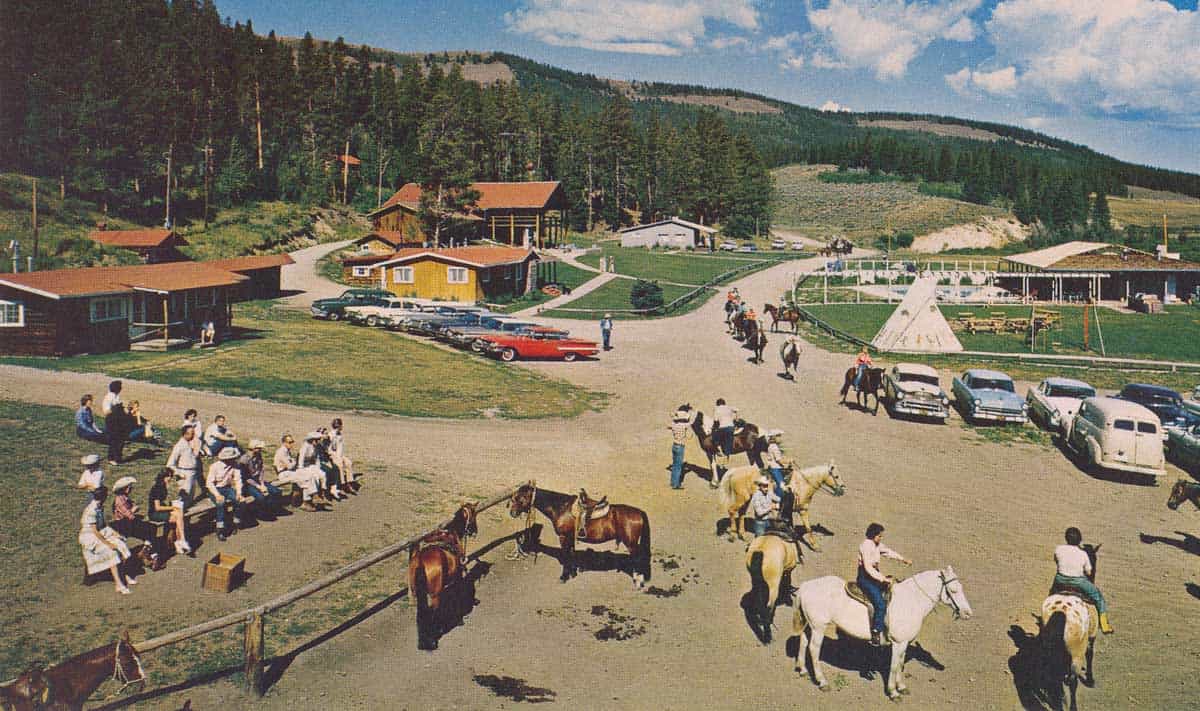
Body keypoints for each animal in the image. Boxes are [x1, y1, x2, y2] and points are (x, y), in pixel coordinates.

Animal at [410, 499, 480, 648]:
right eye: (474, 514)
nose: (474, 531)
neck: (452, 535)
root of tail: (420, 561)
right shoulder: (458, 576)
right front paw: (459, 619)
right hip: (435, 595)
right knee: (432, 612)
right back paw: (432, 639)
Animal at [508, 482, 657, 588]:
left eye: (520, 498)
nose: (512, 513)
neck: (561, 507)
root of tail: (639, 512)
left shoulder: (563, 537)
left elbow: (566, 556)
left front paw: (563, 577)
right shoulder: (570, 537)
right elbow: (572, 554)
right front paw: (573, 573)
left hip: (631, 543)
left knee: (638, 558)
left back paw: (638, 582)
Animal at [792, 566, 969, 701]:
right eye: (953, 590)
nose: (968, 613)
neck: (910, 601)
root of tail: (806, 586)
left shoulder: (904, 643)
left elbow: (900, 663)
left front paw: (901, 687)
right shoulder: (898, 643)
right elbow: (894, 665)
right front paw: (893, 692)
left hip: (810, 625)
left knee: (803, 642)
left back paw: (803, 670)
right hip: (819, 627)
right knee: (814, 649)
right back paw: (822, 682)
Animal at [1036, 540, 1099, 706]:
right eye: (1094, 558)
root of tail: (1061, 612)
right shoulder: (1091, 637)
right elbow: (1090, 655)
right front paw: (1090, 679)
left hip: (1048, 649)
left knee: (1049, 672)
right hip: (1076, 655)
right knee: (1073, 681)